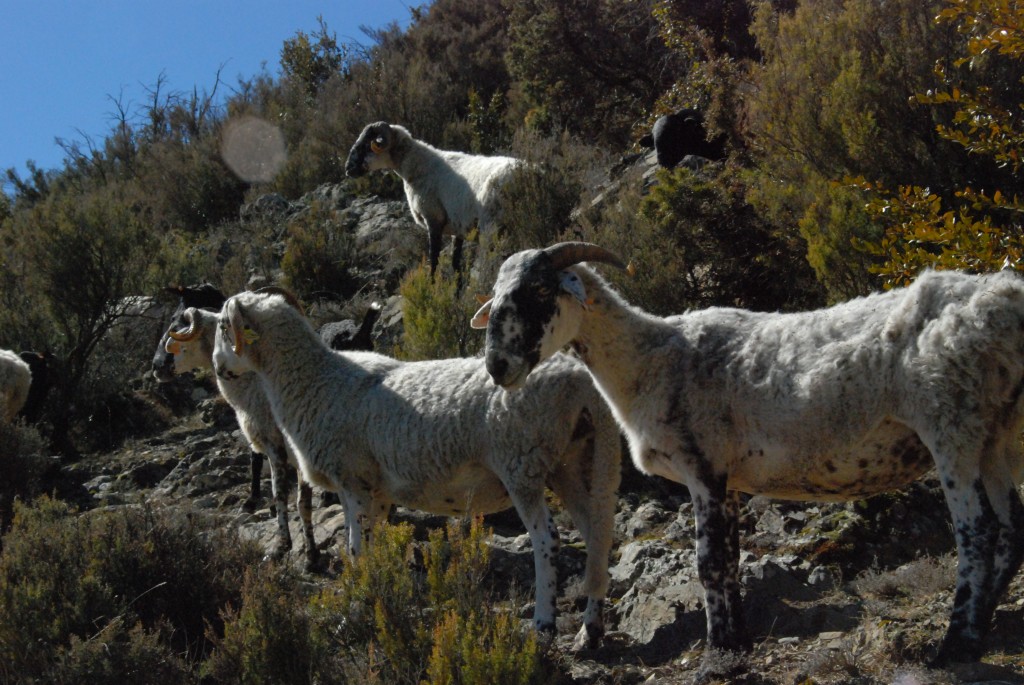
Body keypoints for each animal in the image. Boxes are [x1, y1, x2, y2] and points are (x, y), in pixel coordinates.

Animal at [211, 290, 618, 651]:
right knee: (597, 536)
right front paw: (372, 603)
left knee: (547, 539)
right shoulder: (374, 492)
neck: (314, 381)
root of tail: (582, 381)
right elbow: (371, 552)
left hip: (522, 463)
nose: (218, 369)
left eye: (222, 326)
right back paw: (590, 631)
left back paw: (543, 626)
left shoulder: (353, 480)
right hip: (572, 463)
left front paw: (351, 617)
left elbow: (355, 553)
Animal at [475, 240, 1024, 679]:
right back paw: (984, 625)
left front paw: (716, 653)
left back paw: (954, 644)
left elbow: (708, 565)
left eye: (539, 291)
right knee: (1010, 526)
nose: (497, 367)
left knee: (978, 532)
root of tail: (1003, 302)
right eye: (496, 298)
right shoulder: (730, 481)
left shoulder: (702, 465)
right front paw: (737, 641)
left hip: (951, 424)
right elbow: (732, 561)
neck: (648, 359)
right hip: (997, 436)